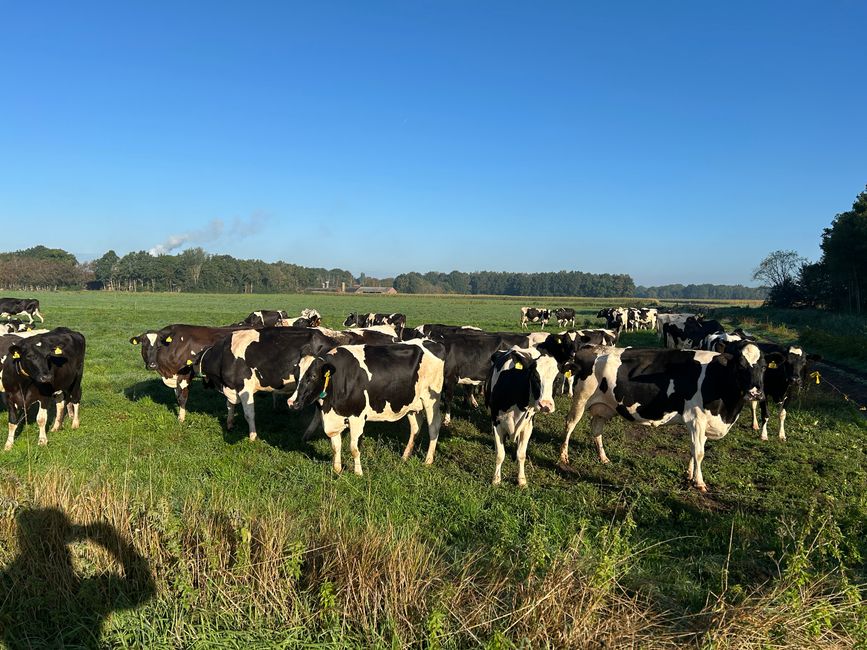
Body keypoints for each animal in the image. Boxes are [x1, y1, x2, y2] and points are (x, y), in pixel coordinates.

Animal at [286, 339, 446, 475]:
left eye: (313, 376)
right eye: (296, 375)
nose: (291, 402)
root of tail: (433, 343)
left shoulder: (357, 417)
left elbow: (354, 448)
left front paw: (358, 473)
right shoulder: (332, 419)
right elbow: (335, 447)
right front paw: (337, 470)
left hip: (431, 399)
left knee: (434, 426)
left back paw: (428, 461)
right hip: (411, 403)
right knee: (416, 427)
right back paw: (405, 456)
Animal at [486, 346, 565, 487]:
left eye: (558, 379)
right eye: (534, 376)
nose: (545, 405)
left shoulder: (528, 425)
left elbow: (521, 454)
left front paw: (521, 480)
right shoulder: (496, 422)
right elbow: (500, 454)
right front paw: (496, 479)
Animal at [559, 342, 765, 491]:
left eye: (763, 368)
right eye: (740, 366)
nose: (756, 393)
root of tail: (591, 347)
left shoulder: (703, 424)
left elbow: (694, 450)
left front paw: (689, 475)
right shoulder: (696, 419)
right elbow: (699, 452)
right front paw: (699, 483)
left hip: (603, 407)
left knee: (596, 429)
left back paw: (604, 458)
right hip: (581, 398)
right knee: (569, 424)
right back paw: (563, 457)